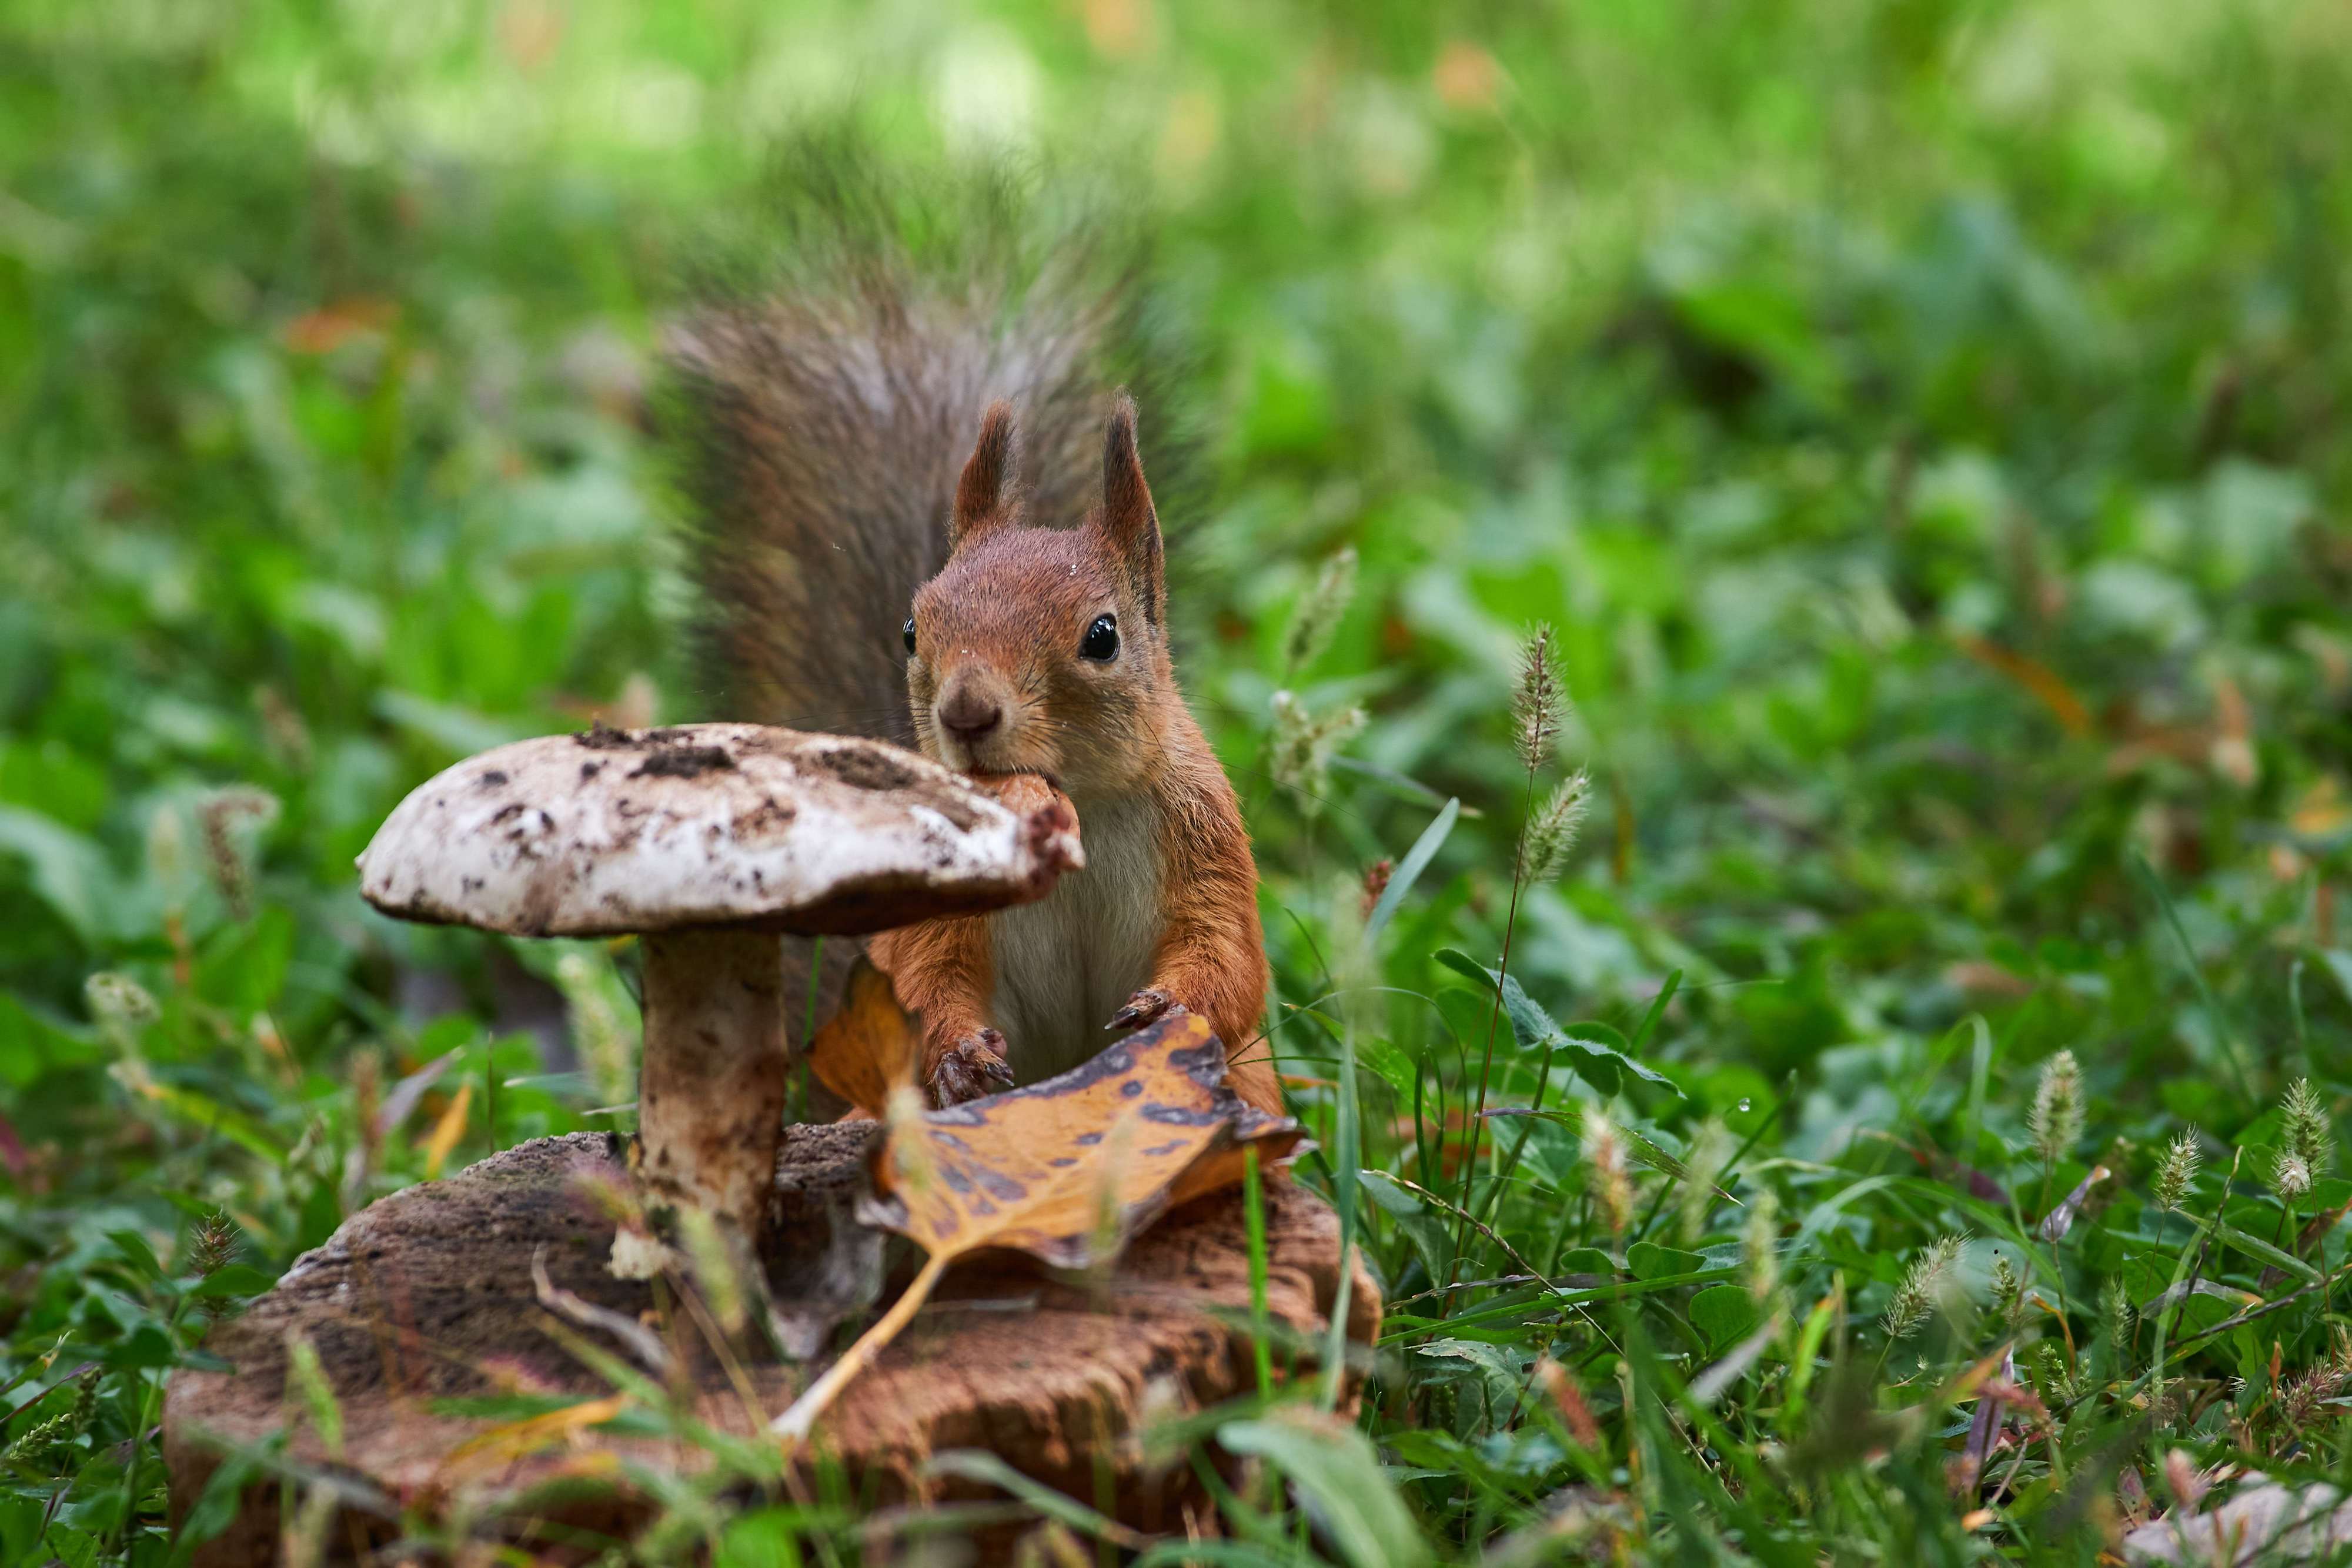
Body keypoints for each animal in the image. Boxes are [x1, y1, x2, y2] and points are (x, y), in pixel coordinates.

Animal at [673, 165, 1279, 1124]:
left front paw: (1166, 1009)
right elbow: (923, 978)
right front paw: (957, 1053)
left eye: (1102, 635)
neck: (1078, 806)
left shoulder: (1206, 839)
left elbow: (1229, 960)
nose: (965, 712)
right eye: (912, 627)